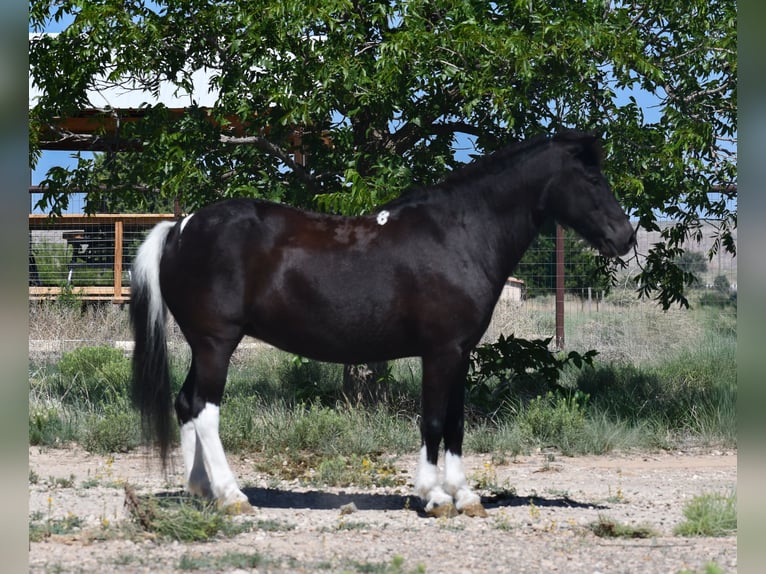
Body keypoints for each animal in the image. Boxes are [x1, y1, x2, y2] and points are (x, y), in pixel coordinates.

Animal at [130, 130, 636, 517]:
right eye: (592, 178)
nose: (625, 238)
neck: (458, 235)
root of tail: (179, 228)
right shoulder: (440, 352)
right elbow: (433, 420)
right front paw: (434, 497)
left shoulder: (460, 353)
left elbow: (456, 423)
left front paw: (465, 496)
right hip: (217, 343)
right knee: (205, 409)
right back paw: (232, 496)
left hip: (203, 346)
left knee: (186, 403)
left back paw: (202, 492)